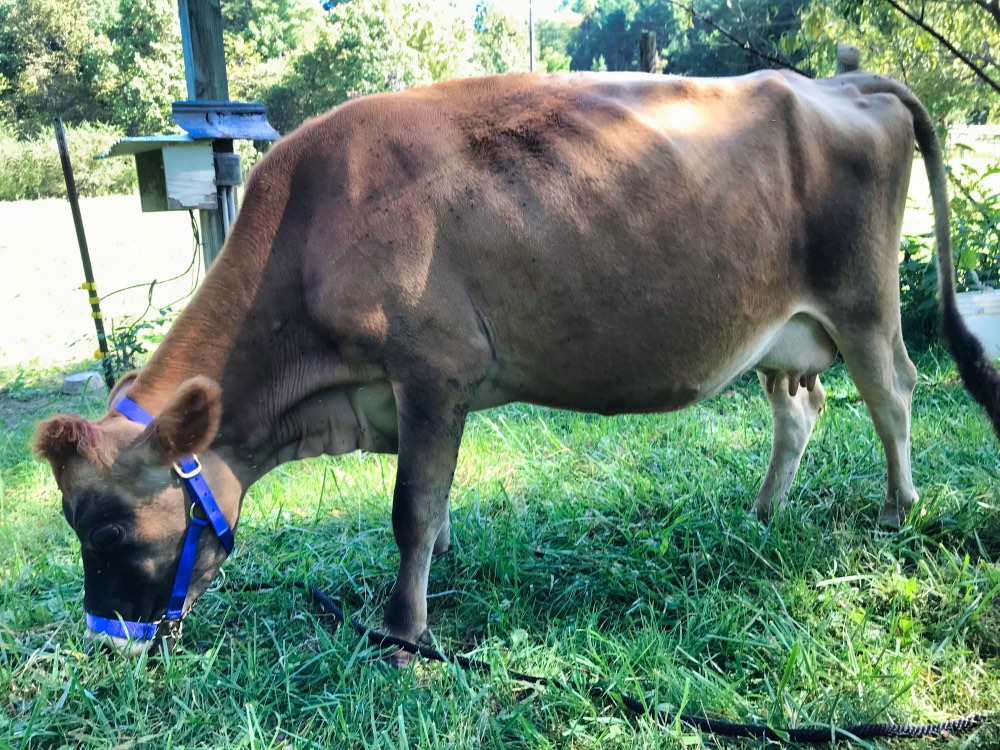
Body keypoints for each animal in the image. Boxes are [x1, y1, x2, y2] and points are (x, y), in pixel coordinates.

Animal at [33, 70, 1000, 654]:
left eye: (108, 531)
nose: (104, 642)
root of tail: (837, 79)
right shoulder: (423, 396)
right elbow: (436, 504)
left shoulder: (433, 369)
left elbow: (410, 511)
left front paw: (404, 633)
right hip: (781, 329)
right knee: (800, 408)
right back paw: (763, 514)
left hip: (864, 300)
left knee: (895, 392)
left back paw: (898, 511)